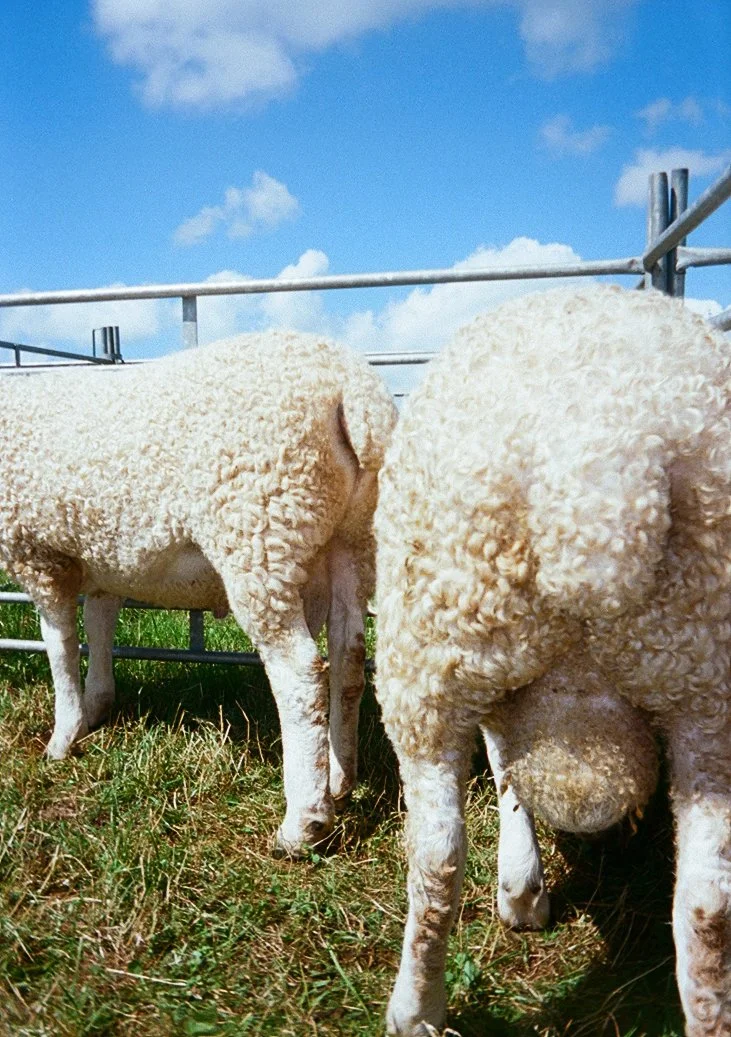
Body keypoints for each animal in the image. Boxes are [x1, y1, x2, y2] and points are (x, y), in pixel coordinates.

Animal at [0, 329, 397, 857]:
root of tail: (353, 388)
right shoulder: (104, 557)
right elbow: (100, 629)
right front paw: (98, 704)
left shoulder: (39, 553)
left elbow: (60, 646)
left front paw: (63, 737)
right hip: (352, 538)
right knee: (349, 661)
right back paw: (339, 780)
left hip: (260, 528)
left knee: (299, 675)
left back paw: (303, 825)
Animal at [374, 285, 731, 1036]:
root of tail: (598, 467)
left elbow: (505, 772)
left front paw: (520, 893)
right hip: (706, 688)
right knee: (707, 902)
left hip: (427, 665)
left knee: (436, 858)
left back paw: (414, 1010)